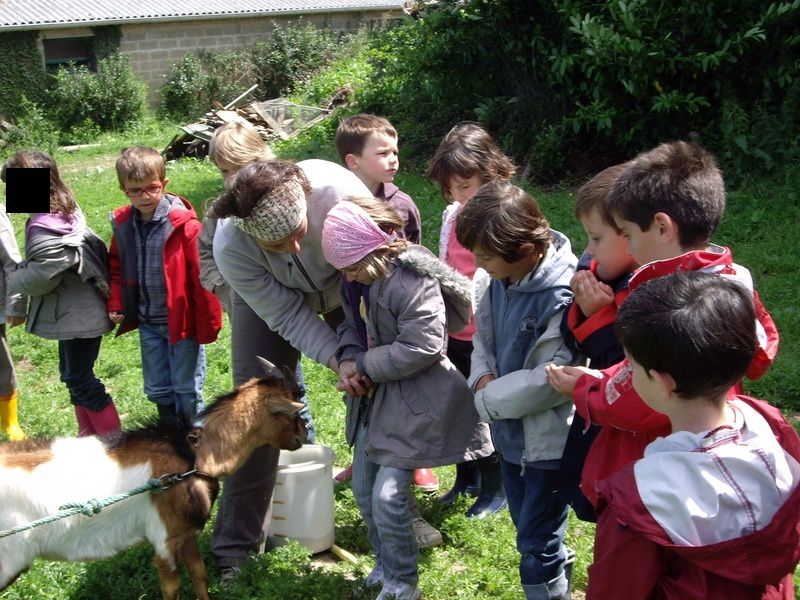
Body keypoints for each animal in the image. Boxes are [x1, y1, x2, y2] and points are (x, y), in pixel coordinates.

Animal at [0, 360, 306, 600]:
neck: (193, 453)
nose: (301, 438)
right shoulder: (164, 538)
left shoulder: (186, 533)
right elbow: (172, 587)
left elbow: (199, 573)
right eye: (295, 411)